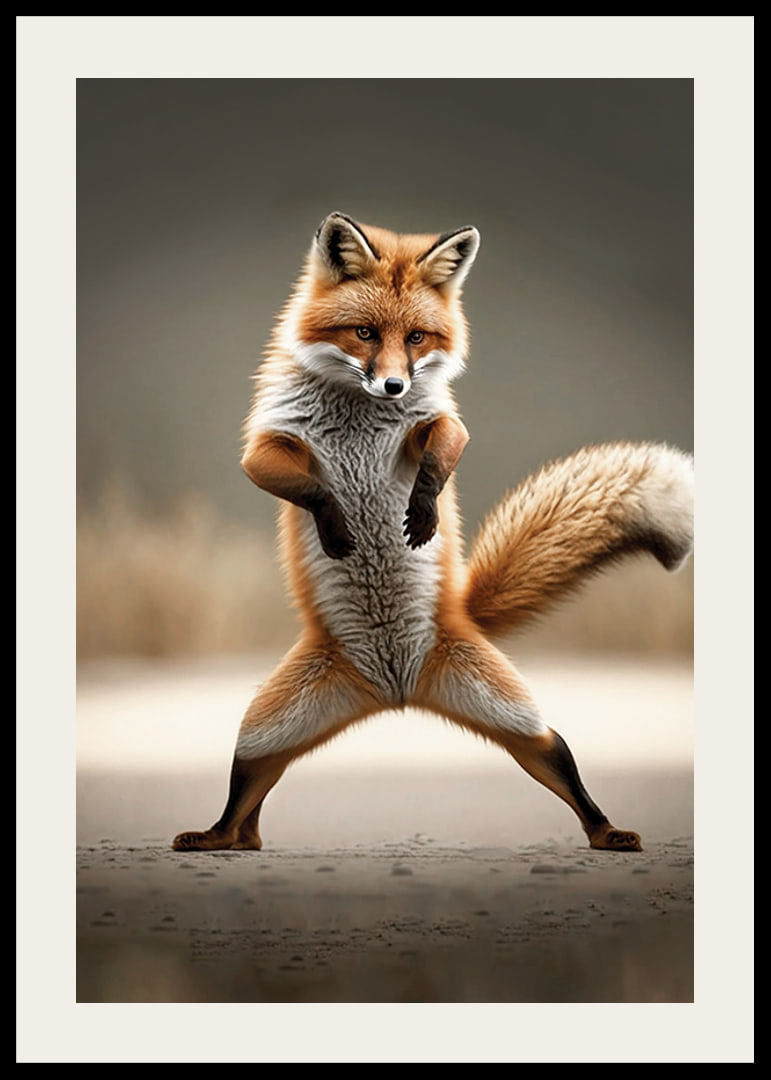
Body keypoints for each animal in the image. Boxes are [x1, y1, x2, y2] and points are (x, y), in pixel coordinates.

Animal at [172, 211, 694, 855]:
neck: (359, 416)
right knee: (247, 800)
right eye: (365, 333)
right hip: (264, 733)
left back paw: (607, 831)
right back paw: (221, 837)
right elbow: (311, 488)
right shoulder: (269, 444)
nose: (394, 387)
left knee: (559, 758)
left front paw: (422, 511)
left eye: (417, 338)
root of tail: (396, 692)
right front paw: (338, 523)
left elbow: (444, 450)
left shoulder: (437, 422)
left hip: (514, 720)